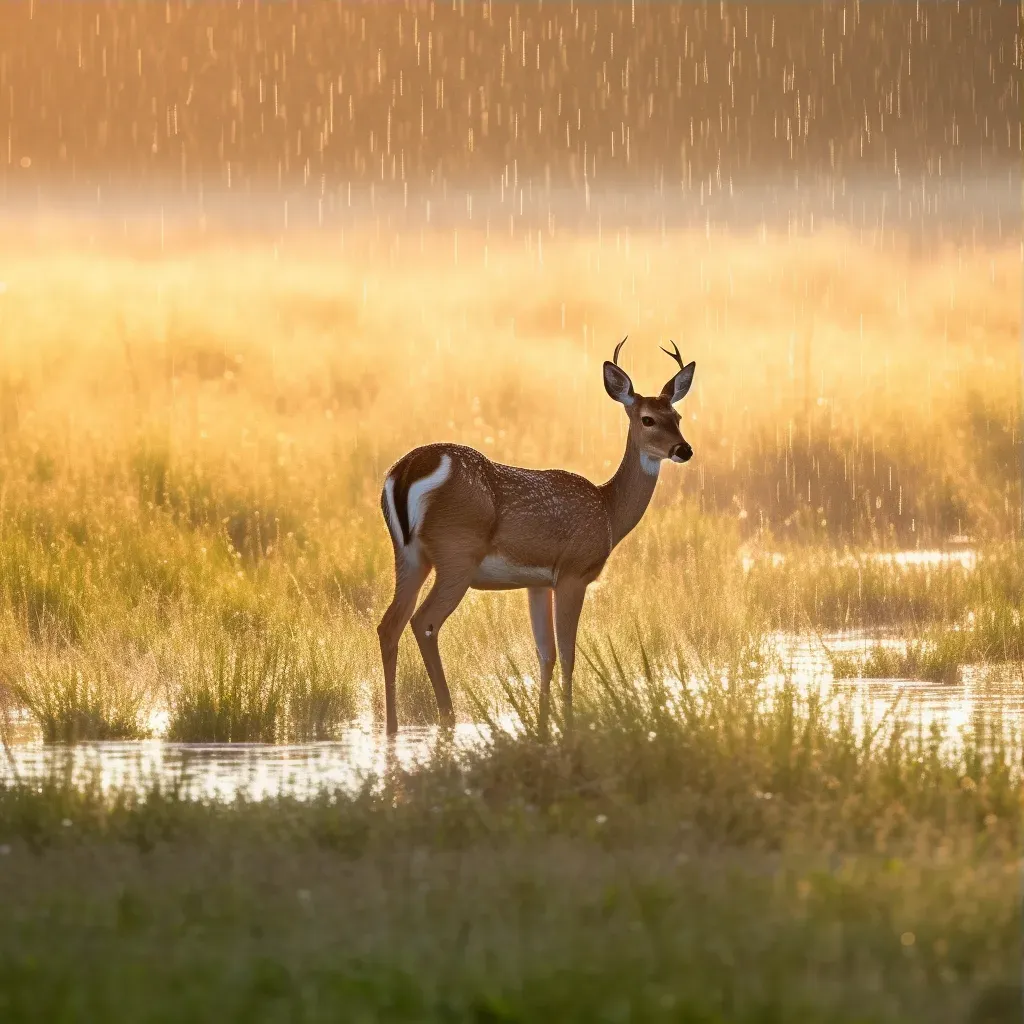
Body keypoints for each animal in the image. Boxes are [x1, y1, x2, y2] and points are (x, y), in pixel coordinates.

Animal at [376, 337, 696, 737]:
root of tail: (405, 471)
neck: (608, 510)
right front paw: (569, 723)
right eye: (647, 418)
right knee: (424, 622)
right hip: (456, 555)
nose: (683, 449)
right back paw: (447, 716)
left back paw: (391, 728)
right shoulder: (574, 572)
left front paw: (544, 725)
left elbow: (546, 653)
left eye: (678, 417)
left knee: (388, 625)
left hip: (409, 555)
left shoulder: (538, 582)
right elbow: (569, 653)